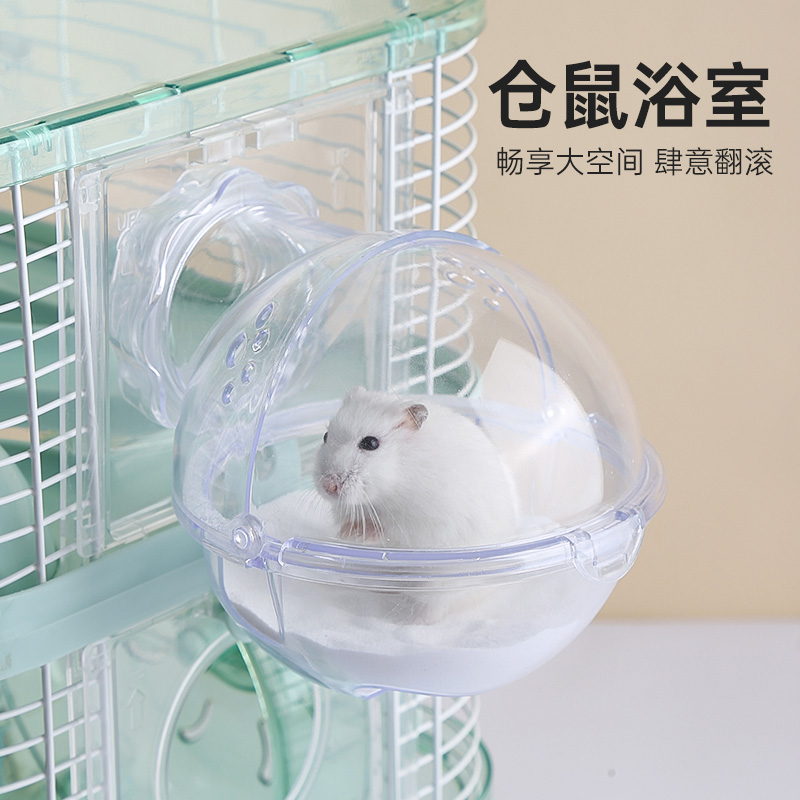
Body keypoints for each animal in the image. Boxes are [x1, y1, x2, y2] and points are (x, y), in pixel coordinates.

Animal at [314, 387, 519, 548]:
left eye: (370, 443)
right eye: (325, 436)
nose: (328, 486)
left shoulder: (426, 523)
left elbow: (389, 530)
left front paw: (357, 533)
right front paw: (344, 532)